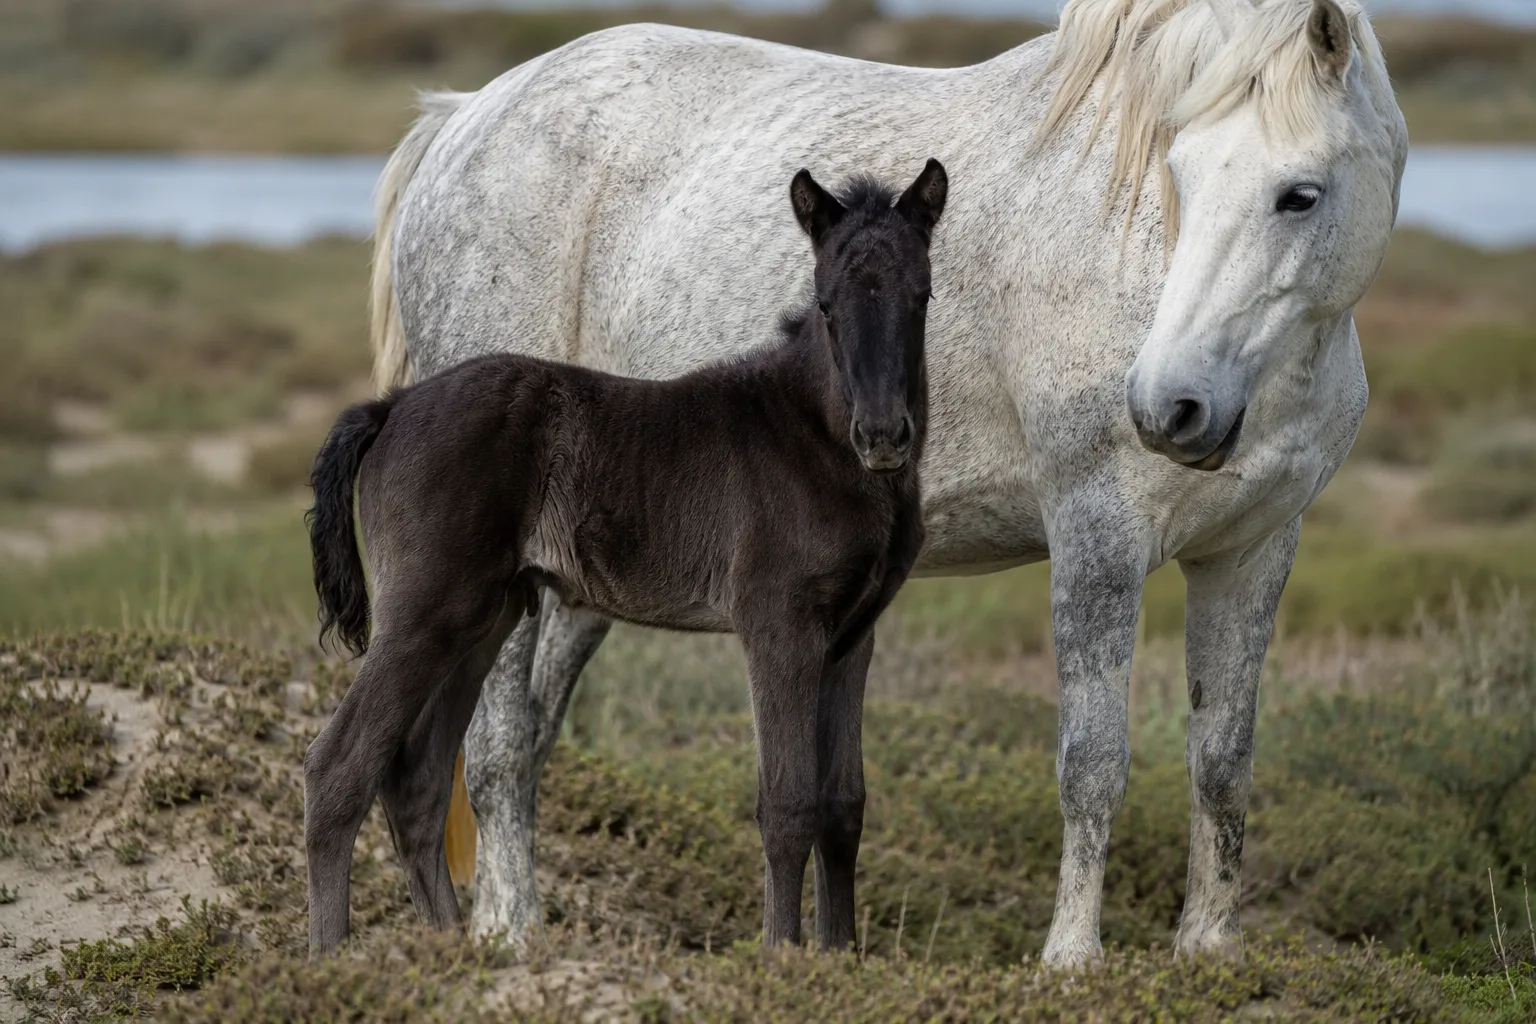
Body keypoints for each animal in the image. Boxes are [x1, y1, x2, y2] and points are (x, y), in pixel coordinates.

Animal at [304, 161, 948, 955]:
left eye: (921, 295)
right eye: (826, 305)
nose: (883, 436)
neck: (817, 440)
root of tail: (391, 406)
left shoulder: (853, 636)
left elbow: (843, 804)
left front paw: (838, 957)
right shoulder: (779, 625)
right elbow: (789, 802)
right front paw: (782, 957)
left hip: (480, 617)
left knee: (417, 781)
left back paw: (456, 954)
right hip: (423, 610)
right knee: (338, 769)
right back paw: (331, 961)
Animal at [373, 0, 1405, 967]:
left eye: (1299, 195)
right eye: (1178, 176)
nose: (1170, 407)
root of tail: (467, 119)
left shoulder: (1251, 552)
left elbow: (1223, 761)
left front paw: (1209, 951)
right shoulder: (1096, 538)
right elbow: (1094, 761)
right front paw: (1072, 960)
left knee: (532, 733)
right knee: (497, 743)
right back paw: (503, 935)